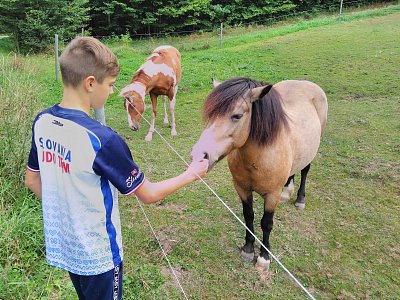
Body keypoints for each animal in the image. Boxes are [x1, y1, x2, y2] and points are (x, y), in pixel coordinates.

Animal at [191, 77, 328, 272]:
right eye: (210, 115)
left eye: (237, 116)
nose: (199, 155)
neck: (257, 159)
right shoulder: (241, 188)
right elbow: (248, 216)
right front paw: (248, 249)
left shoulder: (271, 195)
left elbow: (266, 223)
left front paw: (264, 257)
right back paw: (287, 192)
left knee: (305, 170)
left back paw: (300, 199)